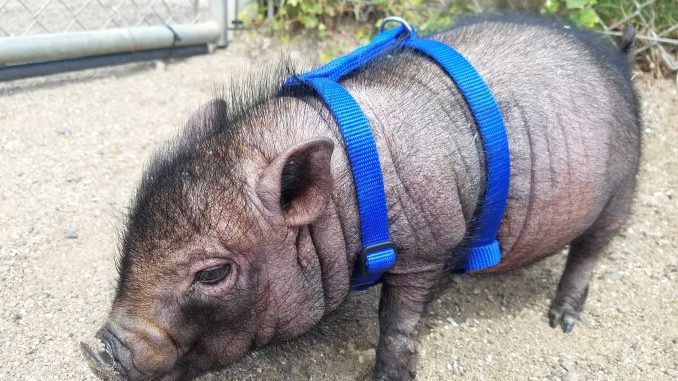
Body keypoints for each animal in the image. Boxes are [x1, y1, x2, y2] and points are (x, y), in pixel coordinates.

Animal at [82, 13, 640, 378]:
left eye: (213, 274)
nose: (100, 351)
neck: (351, 192)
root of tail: (616, 53)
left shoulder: (426, 246)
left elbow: (396, 319)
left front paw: (389, 374)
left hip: (624, 185)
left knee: (592, 247)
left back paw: (561, 321)